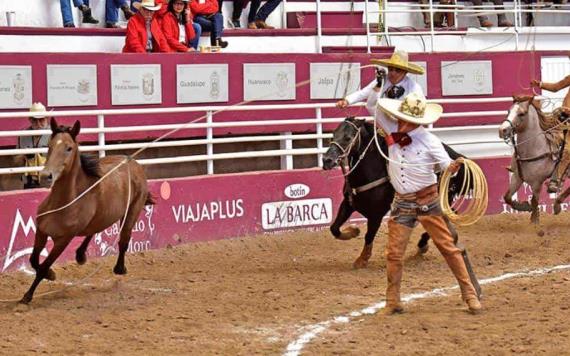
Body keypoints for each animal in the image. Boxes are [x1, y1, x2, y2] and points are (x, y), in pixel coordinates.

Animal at [20, 119, 153, 304]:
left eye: (69, 148)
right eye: (49, 146)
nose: (46, 176)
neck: (63, 202)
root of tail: (132, 162)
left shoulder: (63, 240)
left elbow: (43, 266)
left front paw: (28, 295)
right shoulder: (41, 231)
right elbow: (33, 260)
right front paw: (51, 275)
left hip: (132, 211)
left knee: (123, 240)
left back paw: (119, 268)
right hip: (104, 214)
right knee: (94, 230)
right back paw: (81, 254)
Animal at [324, 118, 466, 268]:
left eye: (348, 138)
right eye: (332, 135)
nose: (326, 160)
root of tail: (455, 157)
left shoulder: (376, 214)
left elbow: (369, 235)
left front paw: (362, 259)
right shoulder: (348, 203)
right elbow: (334, 228)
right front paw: (353, 231)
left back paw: (424, 245)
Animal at [494, 96, 560, 224]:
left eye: (521, 113)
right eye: (508, 111)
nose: (502, 130)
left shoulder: (537, 182)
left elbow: (534, 201)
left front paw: (534, 221)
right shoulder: (517, 177)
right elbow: (507, 197)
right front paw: (524, 206)